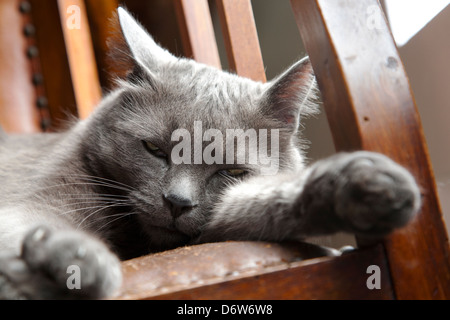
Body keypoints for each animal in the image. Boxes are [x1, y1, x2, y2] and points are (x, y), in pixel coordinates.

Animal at [0, 8, 422, 300]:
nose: (176, 202)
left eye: (231, 171)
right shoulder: (38, 196)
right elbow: (30, 221)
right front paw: (74, 264)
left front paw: (368, 186)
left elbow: (258, 205)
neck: (139, 242)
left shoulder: (216, 222)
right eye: (155, 149)